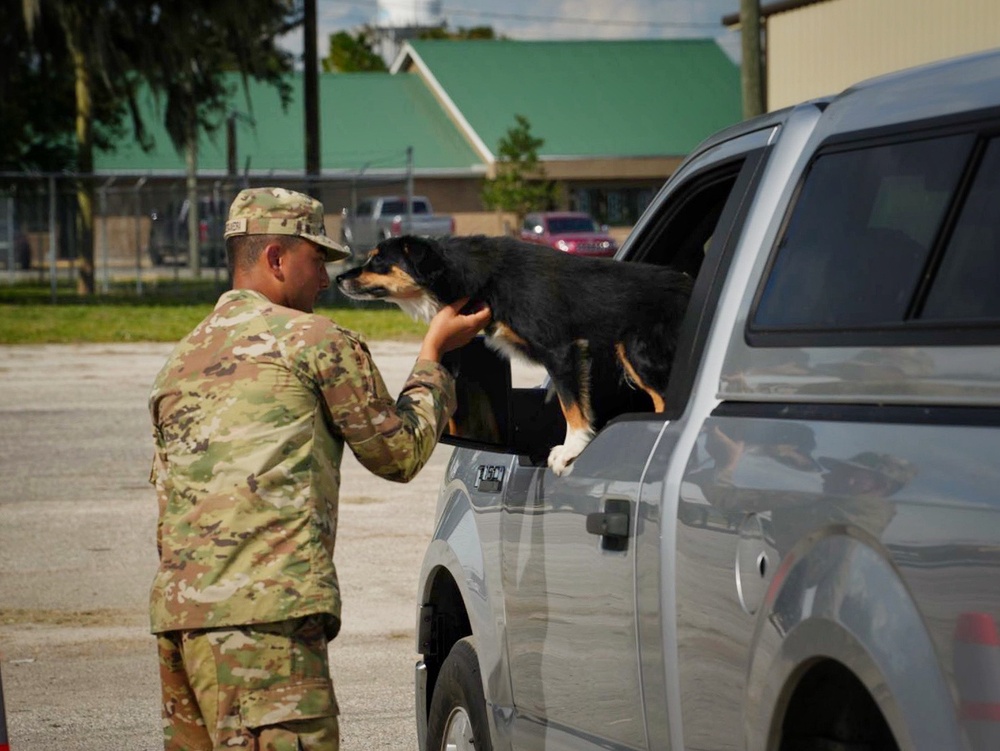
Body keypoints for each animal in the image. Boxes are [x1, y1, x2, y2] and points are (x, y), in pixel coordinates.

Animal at [340, 235, 692, 472]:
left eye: (377, 261)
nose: (340, 277)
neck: (470, 275)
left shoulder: (560, 350)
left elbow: (571, 406)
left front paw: (571, 449)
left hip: (637, 351)